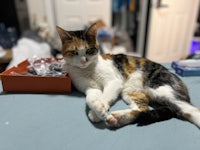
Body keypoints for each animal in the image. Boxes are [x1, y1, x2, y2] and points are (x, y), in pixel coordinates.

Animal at [55, 23, 200, 129]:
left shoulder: (114, 81)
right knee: (142, 109)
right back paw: (118, 118)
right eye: (74, 52)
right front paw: (96, 109)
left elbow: (105, 95)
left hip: (163, 89)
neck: (87, 70)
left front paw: (99, 110)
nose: (83, 61)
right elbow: (90, 98)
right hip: (131, 92)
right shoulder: (90, 87)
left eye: (89, 50)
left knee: (193, 111)